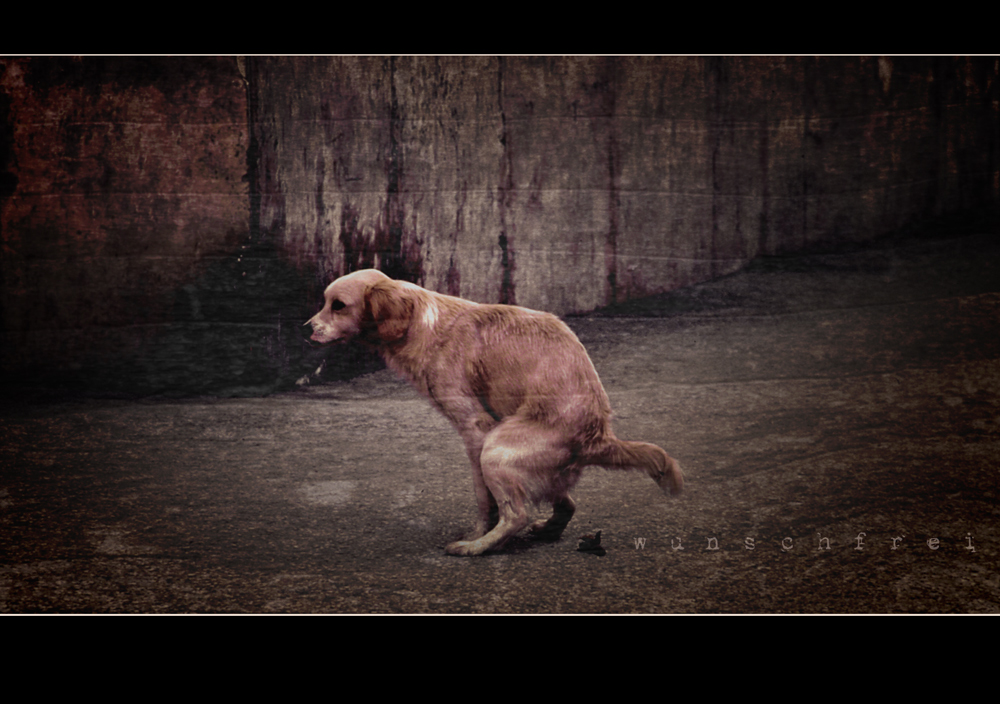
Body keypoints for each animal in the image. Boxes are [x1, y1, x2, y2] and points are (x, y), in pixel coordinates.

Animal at [308, 270, 684, 556]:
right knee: (565, 505)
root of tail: (599, 436)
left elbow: (483, 500)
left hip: (496, 449)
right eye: (324, 303)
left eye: (338, 306)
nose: (306, 327)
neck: (423, 323)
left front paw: (477, 535)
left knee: (517, 514)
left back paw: (478, 548)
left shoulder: (475, 429)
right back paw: (546, 530)